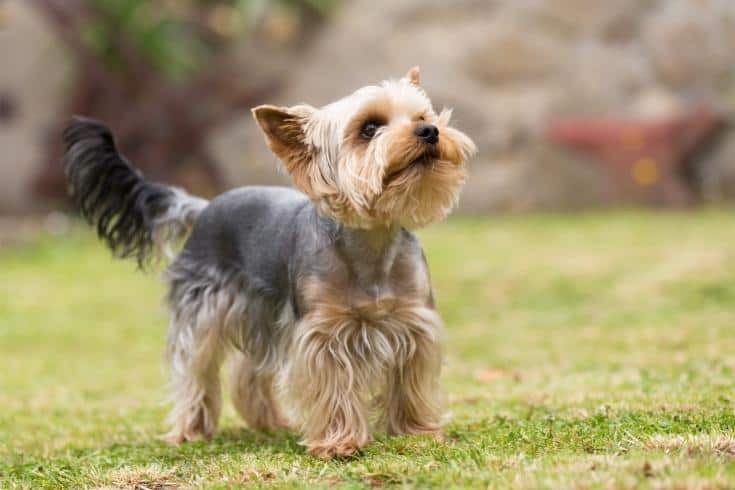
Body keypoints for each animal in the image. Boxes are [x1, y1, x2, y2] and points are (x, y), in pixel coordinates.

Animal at [63, 67, 478, 458]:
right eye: (369, 128)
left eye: (422, 115)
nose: (430, 130)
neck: (372, 240)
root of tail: (204, 206)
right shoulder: (322, 333)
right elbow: (333, 387)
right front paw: (338, 443)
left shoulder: (413, 323)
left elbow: (409, 382)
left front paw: (415, 432)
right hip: (205, 310)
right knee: (195, 370)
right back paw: (191, 429)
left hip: (261, 315)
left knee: (248, 371)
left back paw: (268, 421)